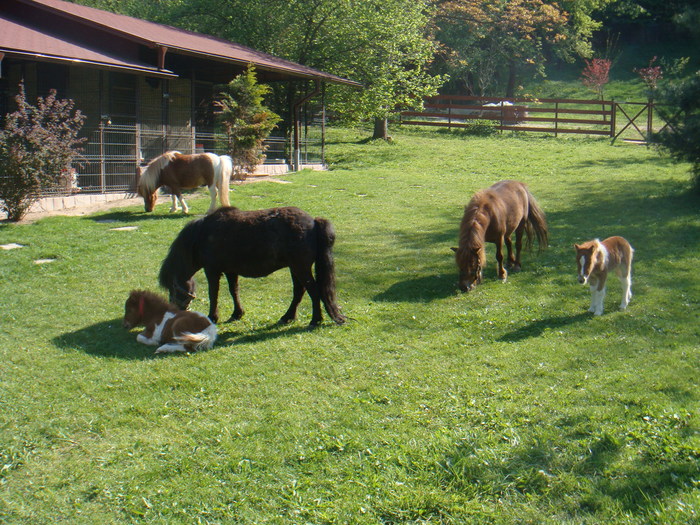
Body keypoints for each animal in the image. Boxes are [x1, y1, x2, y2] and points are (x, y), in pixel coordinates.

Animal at [157, 206, 346, 326]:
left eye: (173, 290)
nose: (175, 312)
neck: (201, 235)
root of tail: (313, 221)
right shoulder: (230, 271)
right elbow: (234, 291)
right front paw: (237, 314)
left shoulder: (212, 270)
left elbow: (213, 293)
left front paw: (212, 317)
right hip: (295, 268)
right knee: (299, 292)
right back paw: (287, 317)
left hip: (300, 267)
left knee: (313, 291)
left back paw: (315, 320)